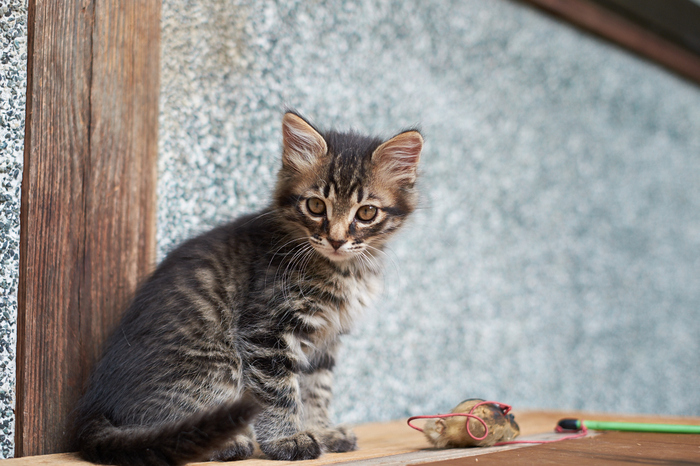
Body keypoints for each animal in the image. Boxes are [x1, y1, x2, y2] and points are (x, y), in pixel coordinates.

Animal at [74, 111, 424, 464]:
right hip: (218, 363)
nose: (337, 240)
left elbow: (316, 390)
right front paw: (288, 439)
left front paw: (321, 430)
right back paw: (223, 443)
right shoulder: (266, 331)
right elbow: (279, 392)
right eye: (315, 206)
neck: (344, 269)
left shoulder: (324, 341)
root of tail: (94, 408)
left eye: (366, 212)